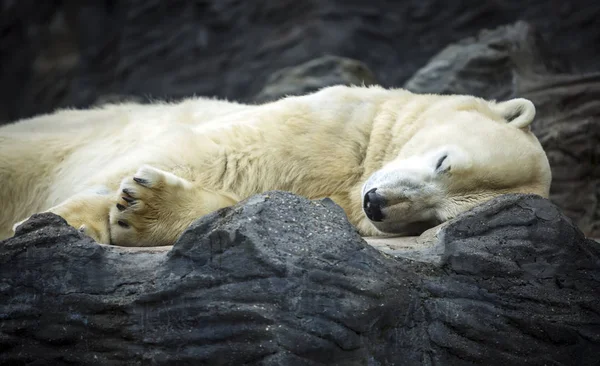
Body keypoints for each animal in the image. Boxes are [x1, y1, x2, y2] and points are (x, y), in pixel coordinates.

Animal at [0, 85, 552, 246]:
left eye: (432, 220)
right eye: (444, 161)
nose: (377, 203)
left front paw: (142, 207)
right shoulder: (334, 123)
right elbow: (220, 153)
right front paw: (69, 221)